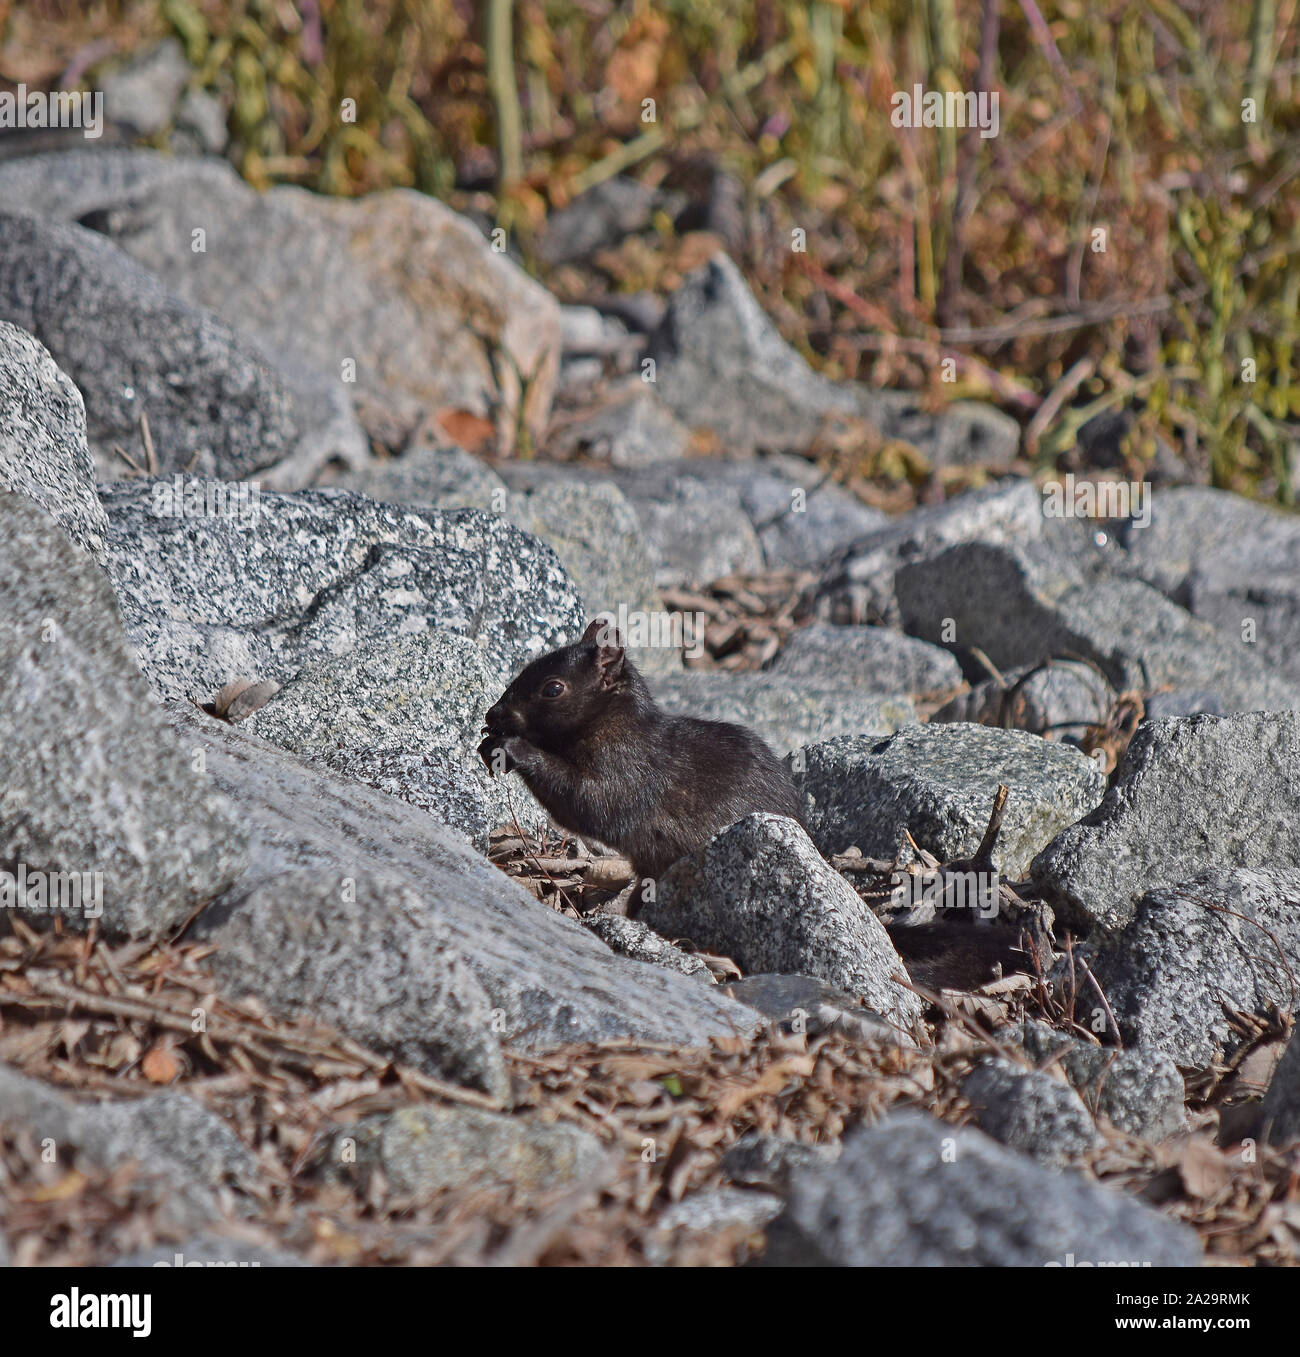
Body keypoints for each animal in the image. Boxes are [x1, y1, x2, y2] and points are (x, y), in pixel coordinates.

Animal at [477, 618, 803, 879]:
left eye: (553, 689)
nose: (492, 715)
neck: (610, 722)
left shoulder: (629, 771)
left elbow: (588, 800)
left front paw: (512, 748)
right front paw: (488, 740)